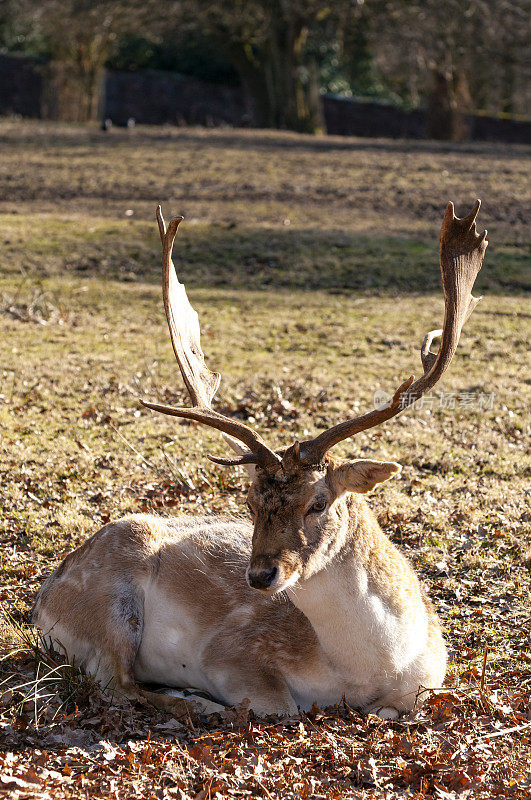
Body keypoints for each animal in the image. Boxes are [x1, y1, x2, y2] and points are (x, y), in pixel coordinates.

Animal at [32, 198, 490, 720]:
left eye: (318, 502)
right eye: (249, 504)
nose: (259, 575)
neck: (372, 668)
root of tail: (42, 600)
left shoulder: (427, 680)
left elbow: (396, 708)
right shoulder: (232, 652)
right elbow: (279, 706)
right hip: (109, 605)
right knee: (115, 684)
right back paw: (192, 700)